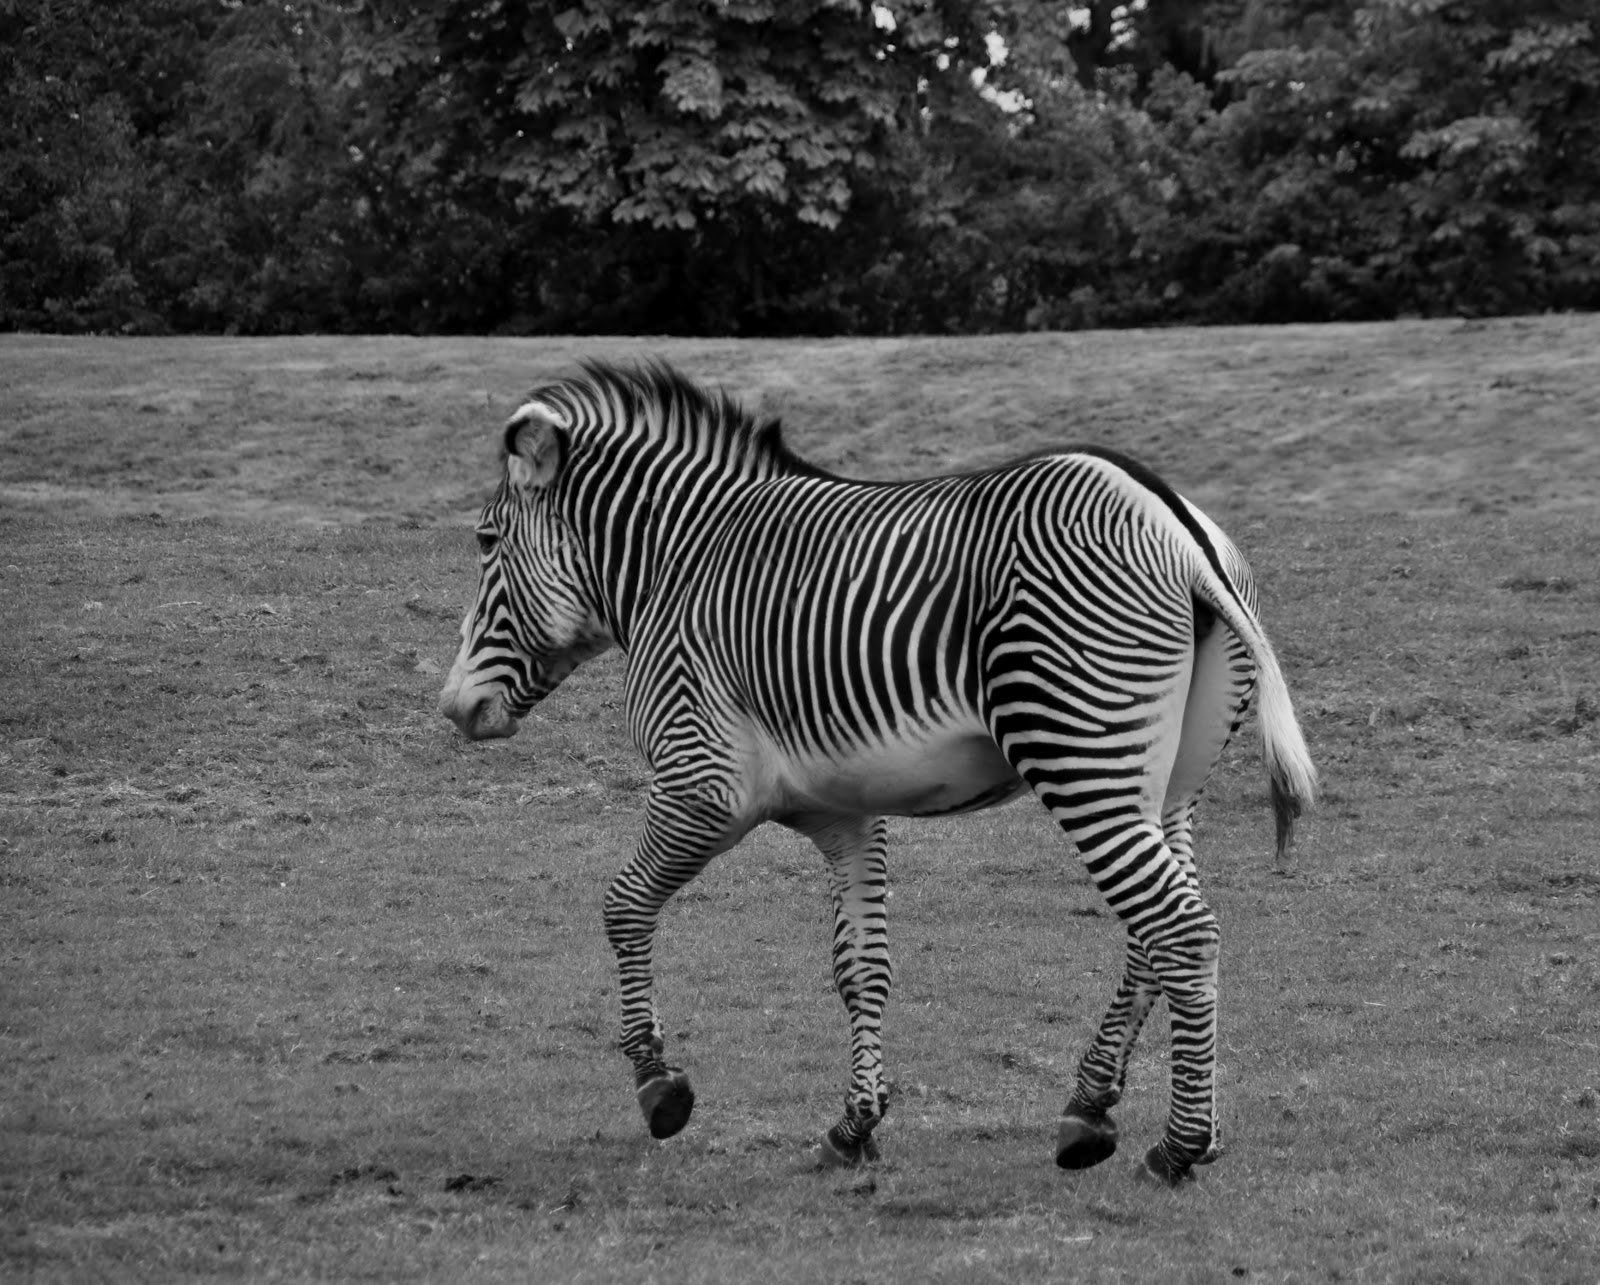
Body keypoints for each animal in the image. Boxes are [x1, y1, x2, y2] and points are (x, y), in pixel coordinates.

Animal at [438, 361, 1316, 1186]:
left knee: (1181, 928)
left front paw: (660, 1084)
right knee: (1153, 932)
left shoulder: (703, 783)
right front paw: (854, 1125)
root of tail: (1174, 521)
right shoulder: (844, 814)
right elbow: (861, 966)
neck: (676, 563)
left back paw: (1179, 1146)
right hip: (1167, 785)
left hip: (1080, 754)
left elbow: (622, 905)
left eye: (483, 541)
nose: (453, 707)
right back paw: (1092, 1110)